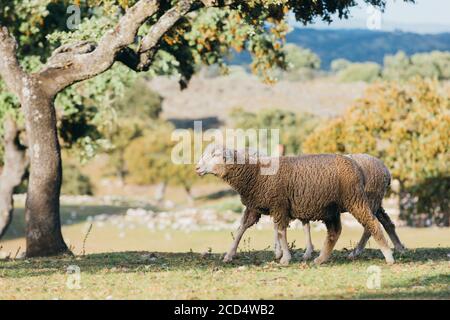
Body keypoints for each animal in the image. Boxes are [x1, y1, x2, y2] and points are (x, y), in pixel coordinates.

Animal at [196, 143, 394, 264]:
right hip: (332, 207)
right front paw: (229, 254)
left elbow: (281, 231)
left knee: (371, 223)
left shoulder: (279, 204)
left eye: (214, 155)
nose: (197, 168)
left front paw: (284, 257)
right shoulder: (255, 207)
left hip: (356, 199)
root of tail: (354, 164)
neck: (256, 173)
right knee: (335, 232)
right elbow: (241, 229)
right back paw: (320, 259)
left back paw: (387, 255)